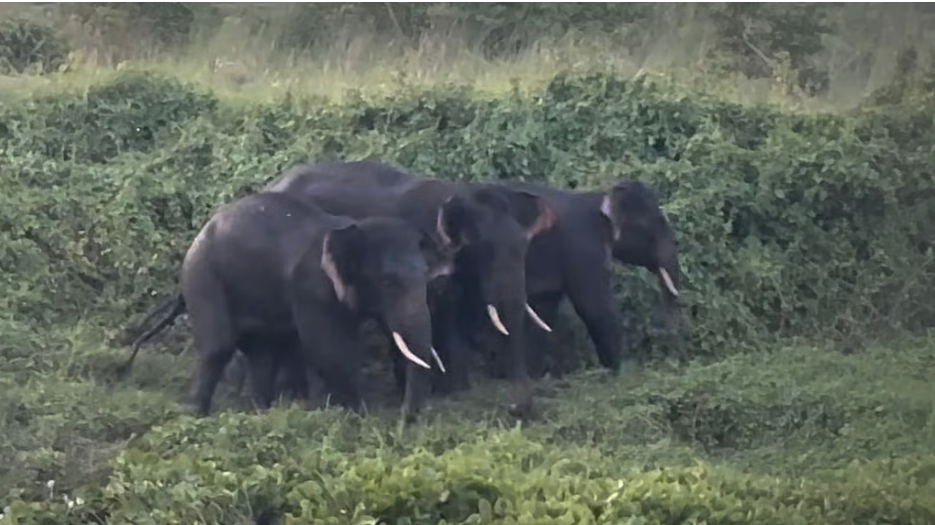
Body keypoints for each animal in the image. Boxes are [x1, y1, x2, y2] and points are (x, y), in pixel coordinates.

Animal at [117, 191, 453, 420]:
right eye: (387, 281)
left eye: (425, 278)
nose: (405, 421)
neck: (352, 228)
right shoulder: (311, 287)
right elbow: (327, 348)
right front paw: (359, 415)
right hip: (203, 277)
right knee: (219, 347)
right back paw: (198, 415)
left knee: (262, 353)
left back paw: (262, 412)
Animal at [263, 159, 558, 414]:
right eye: (484, 250)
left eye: (525, 247)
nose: (515, 408)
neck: (458, 193)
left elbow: (449, 318)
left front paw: (458, 392)